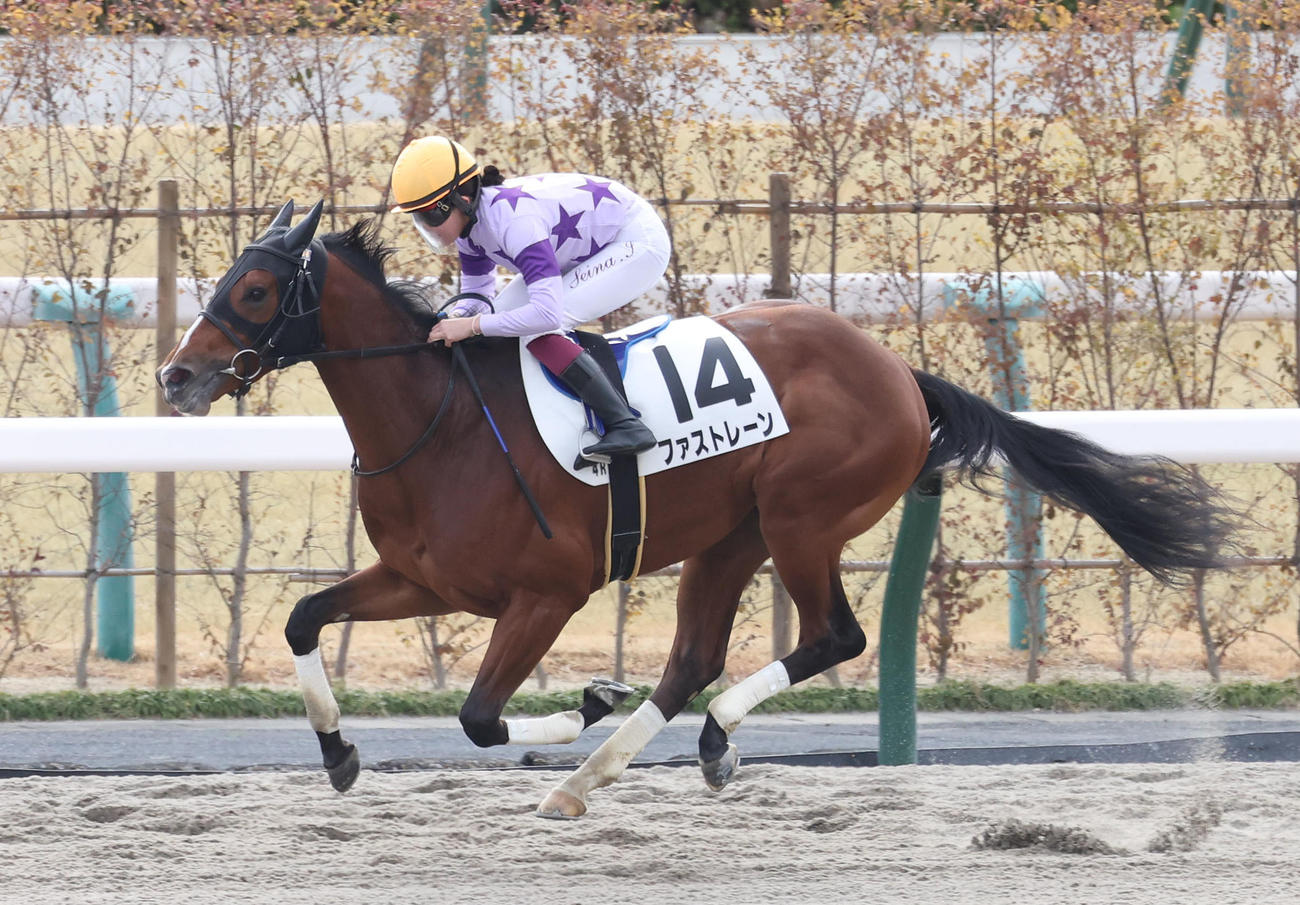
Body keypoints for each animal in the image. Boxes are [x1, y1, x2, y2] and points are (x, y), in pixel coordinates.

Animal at [157, 200, 1237, 818]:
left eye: (256, 288)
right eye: (226, 277)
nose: (176, 375)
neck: (442, 420)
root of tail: (899, 370)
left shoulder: (548, 591)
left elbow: (478, 715)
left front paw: (584, 699)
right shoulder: (425, 579)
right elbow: (304, 618)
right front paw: (339, 752)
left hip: (802, 517)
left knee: (833, 637)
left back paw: (689, 740)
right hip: (731, 536)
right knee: (693, 658)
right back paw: (592, 779)